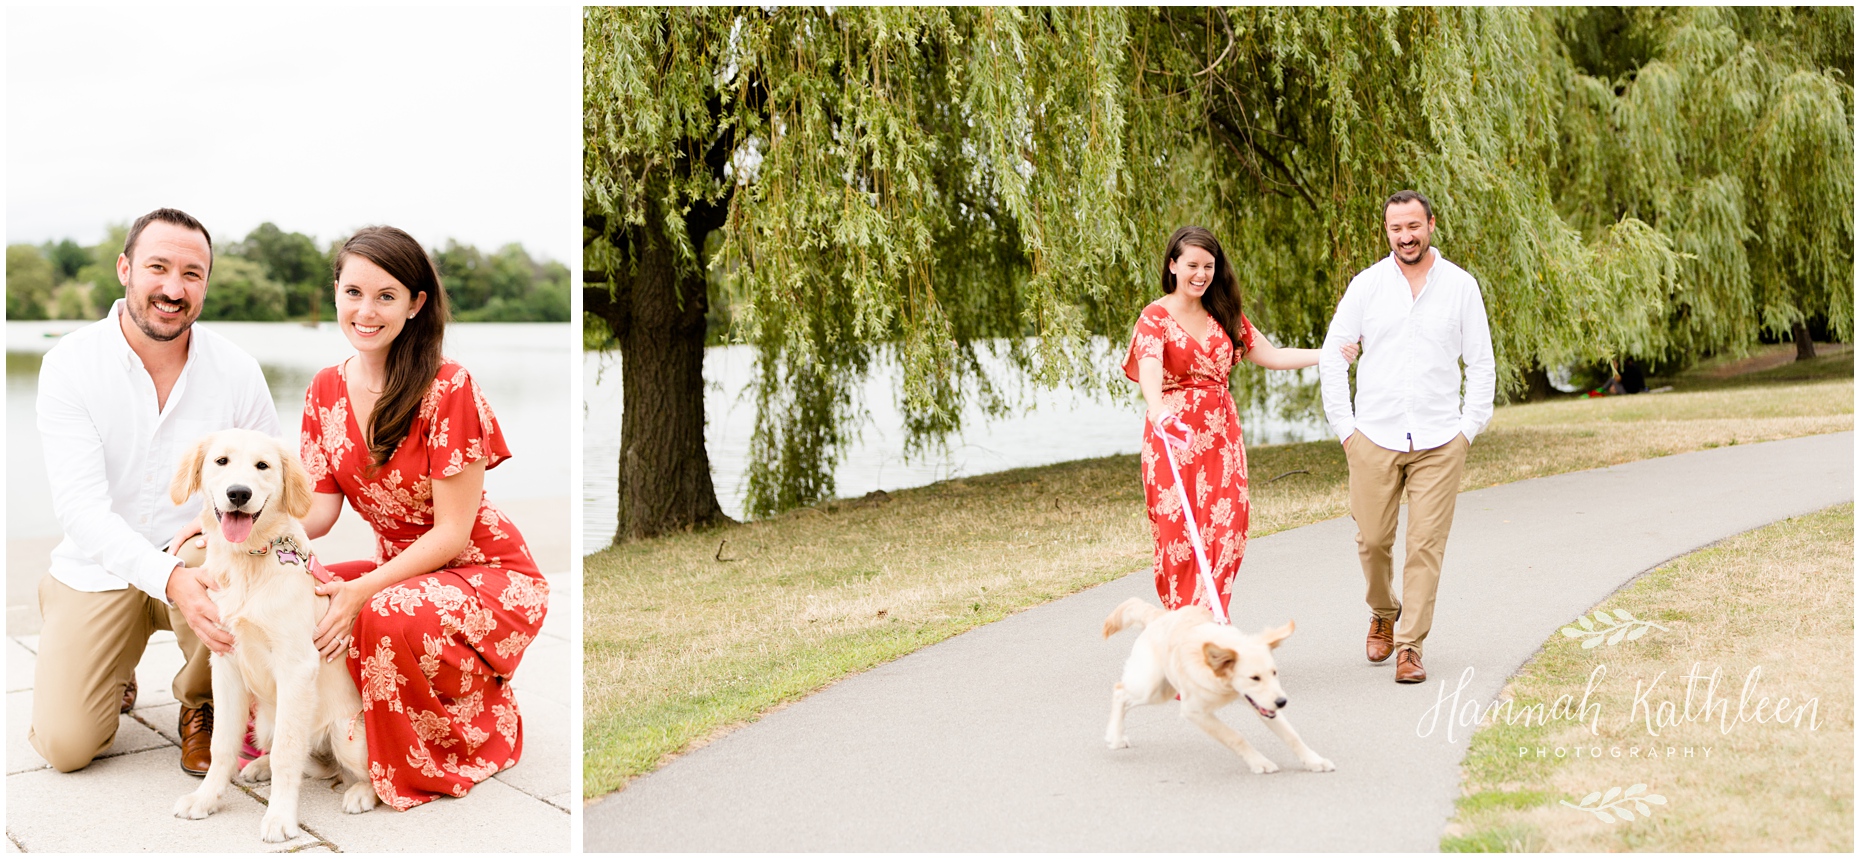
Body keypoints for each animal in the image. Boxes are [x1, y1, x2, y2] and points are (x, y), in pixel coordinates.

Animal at [171, 429, 377, 840]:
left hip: (346, 734)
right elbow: (222, 745)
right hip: (266, 721)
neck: (250, 560)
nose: (238, 493)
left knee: (370, 774)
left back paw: (361, 793)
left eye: (262, 466)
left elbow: (287, 751)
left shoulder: (296, 666)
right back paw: (259, 765)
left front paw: (280, 817)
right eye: (221, 461)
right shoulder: (226, 664)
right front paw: (206, 798)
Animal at [1093, 598, 1331, 773]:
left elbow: (1291, 735)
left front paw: (1314, 761)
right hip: (1151, 687)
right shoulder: (1194, 712)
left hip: (1162, 690)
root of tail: (1161, 615)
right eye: (1254, 678)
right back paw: (1115, 736)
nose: (1282, 702)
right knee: (1120, 692)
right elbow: (1234, 737)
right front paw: (1259, 762)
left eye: (1274, 673)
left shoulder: (1263, 703)